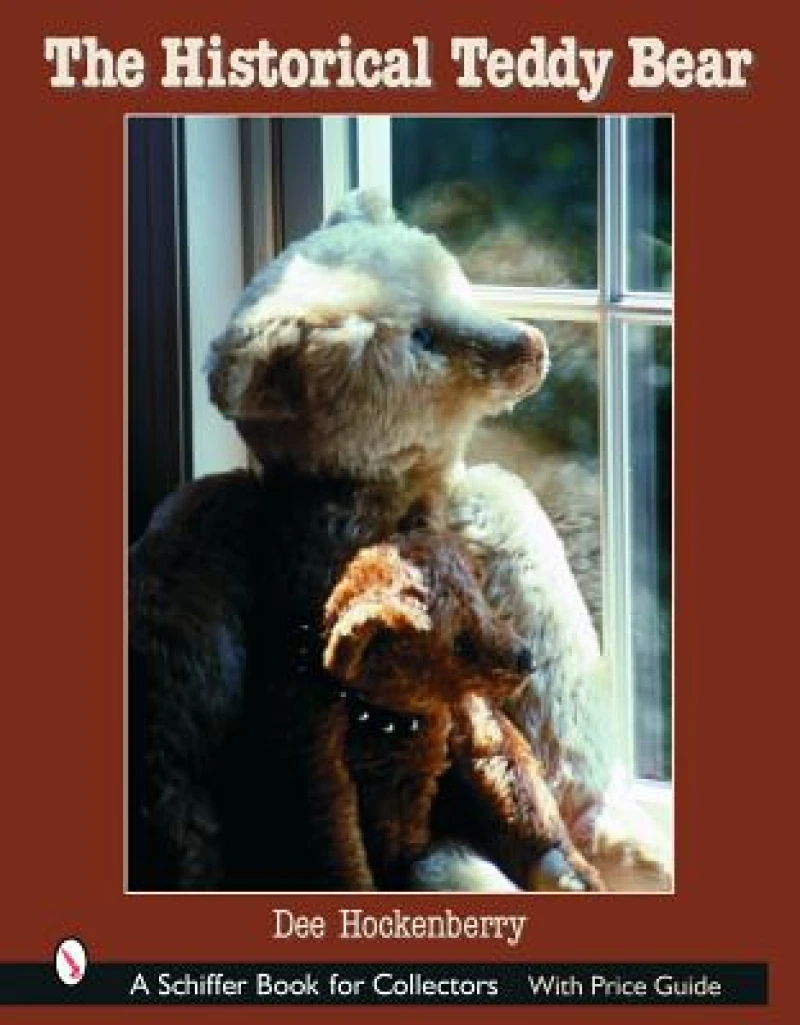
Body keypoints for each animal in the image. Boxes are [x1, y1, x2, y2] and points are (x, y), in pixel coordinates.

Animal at [128, 188, 670, 892]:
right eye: (422, 339)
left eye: (459, 285)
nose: (529, 343)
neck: (373, 493)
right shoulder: (203, 532)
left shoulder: (488, 519)